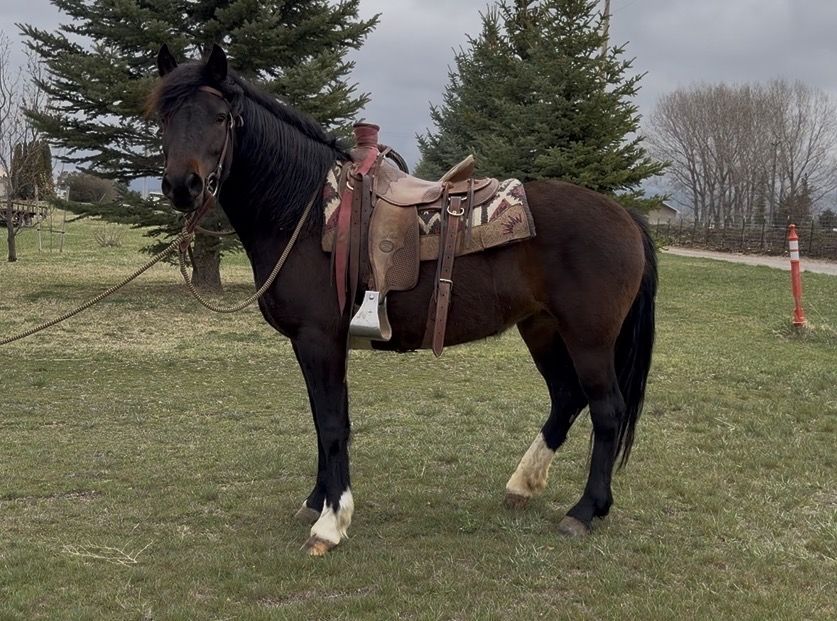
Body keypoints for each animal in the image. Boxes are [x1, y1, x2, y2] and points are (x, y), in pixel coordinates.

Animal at [148, 44, 657, 556]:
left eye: (219, 117)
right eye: (165, 117)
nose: (181, 186)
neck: (306, 213)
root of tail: (626, 216)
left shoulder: (318, 339)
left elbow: (331, 424)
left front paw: (331, 523)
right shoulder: (315, 344)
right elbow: (324, 420)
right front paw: (317, 502)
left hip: (588, 339)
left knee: (606, 411)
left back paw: (585, 510)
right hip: (542, 328)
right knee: (566, 397)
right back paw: (522, 485)